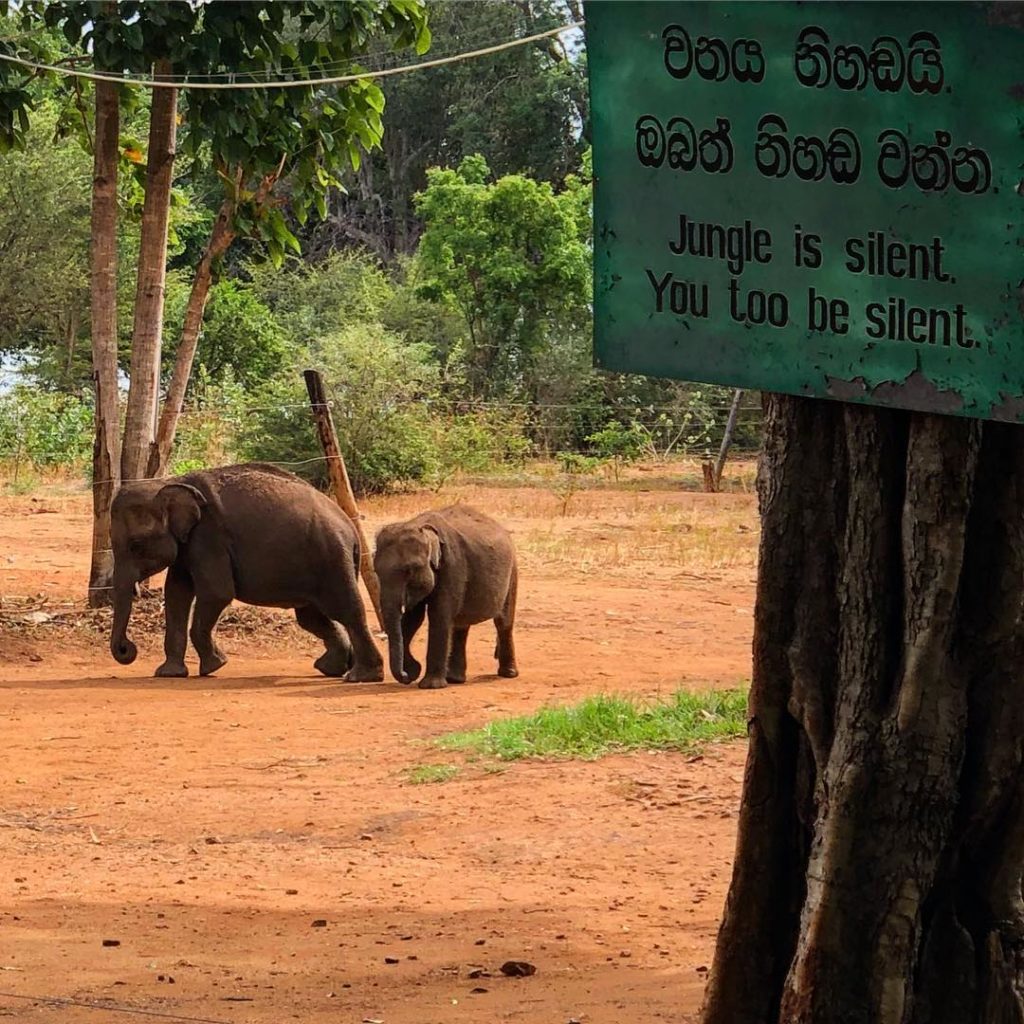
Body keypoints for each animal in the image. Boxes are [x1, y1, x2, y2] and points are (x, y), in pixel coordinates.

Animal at [108, 462, 384, 682]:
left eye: (135, 545)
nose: (127, 650)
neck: (169, 482)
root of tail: (351, 527)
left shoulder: (209, 538)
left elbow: (216, 593)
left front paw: (214, 667)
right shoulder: (188, 545)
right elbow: (176, 594)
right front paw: (169, 674)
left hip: (332, 558)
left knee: (346, 610)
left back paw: (361, 676)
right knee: (311, 616)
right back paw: (331, 668)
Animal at [373, 504, 519, 689]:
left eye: (410, 570)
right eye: (376, 570)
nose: (408, 675)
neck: (422, 528)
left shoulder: (453, 565)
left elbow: (439, 615)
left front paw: (430, 686)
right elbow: (413, 618)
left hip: (512, 571)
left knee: (503, 622)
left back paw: (508, 674)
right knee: (461, 625)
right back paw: (455, 679)